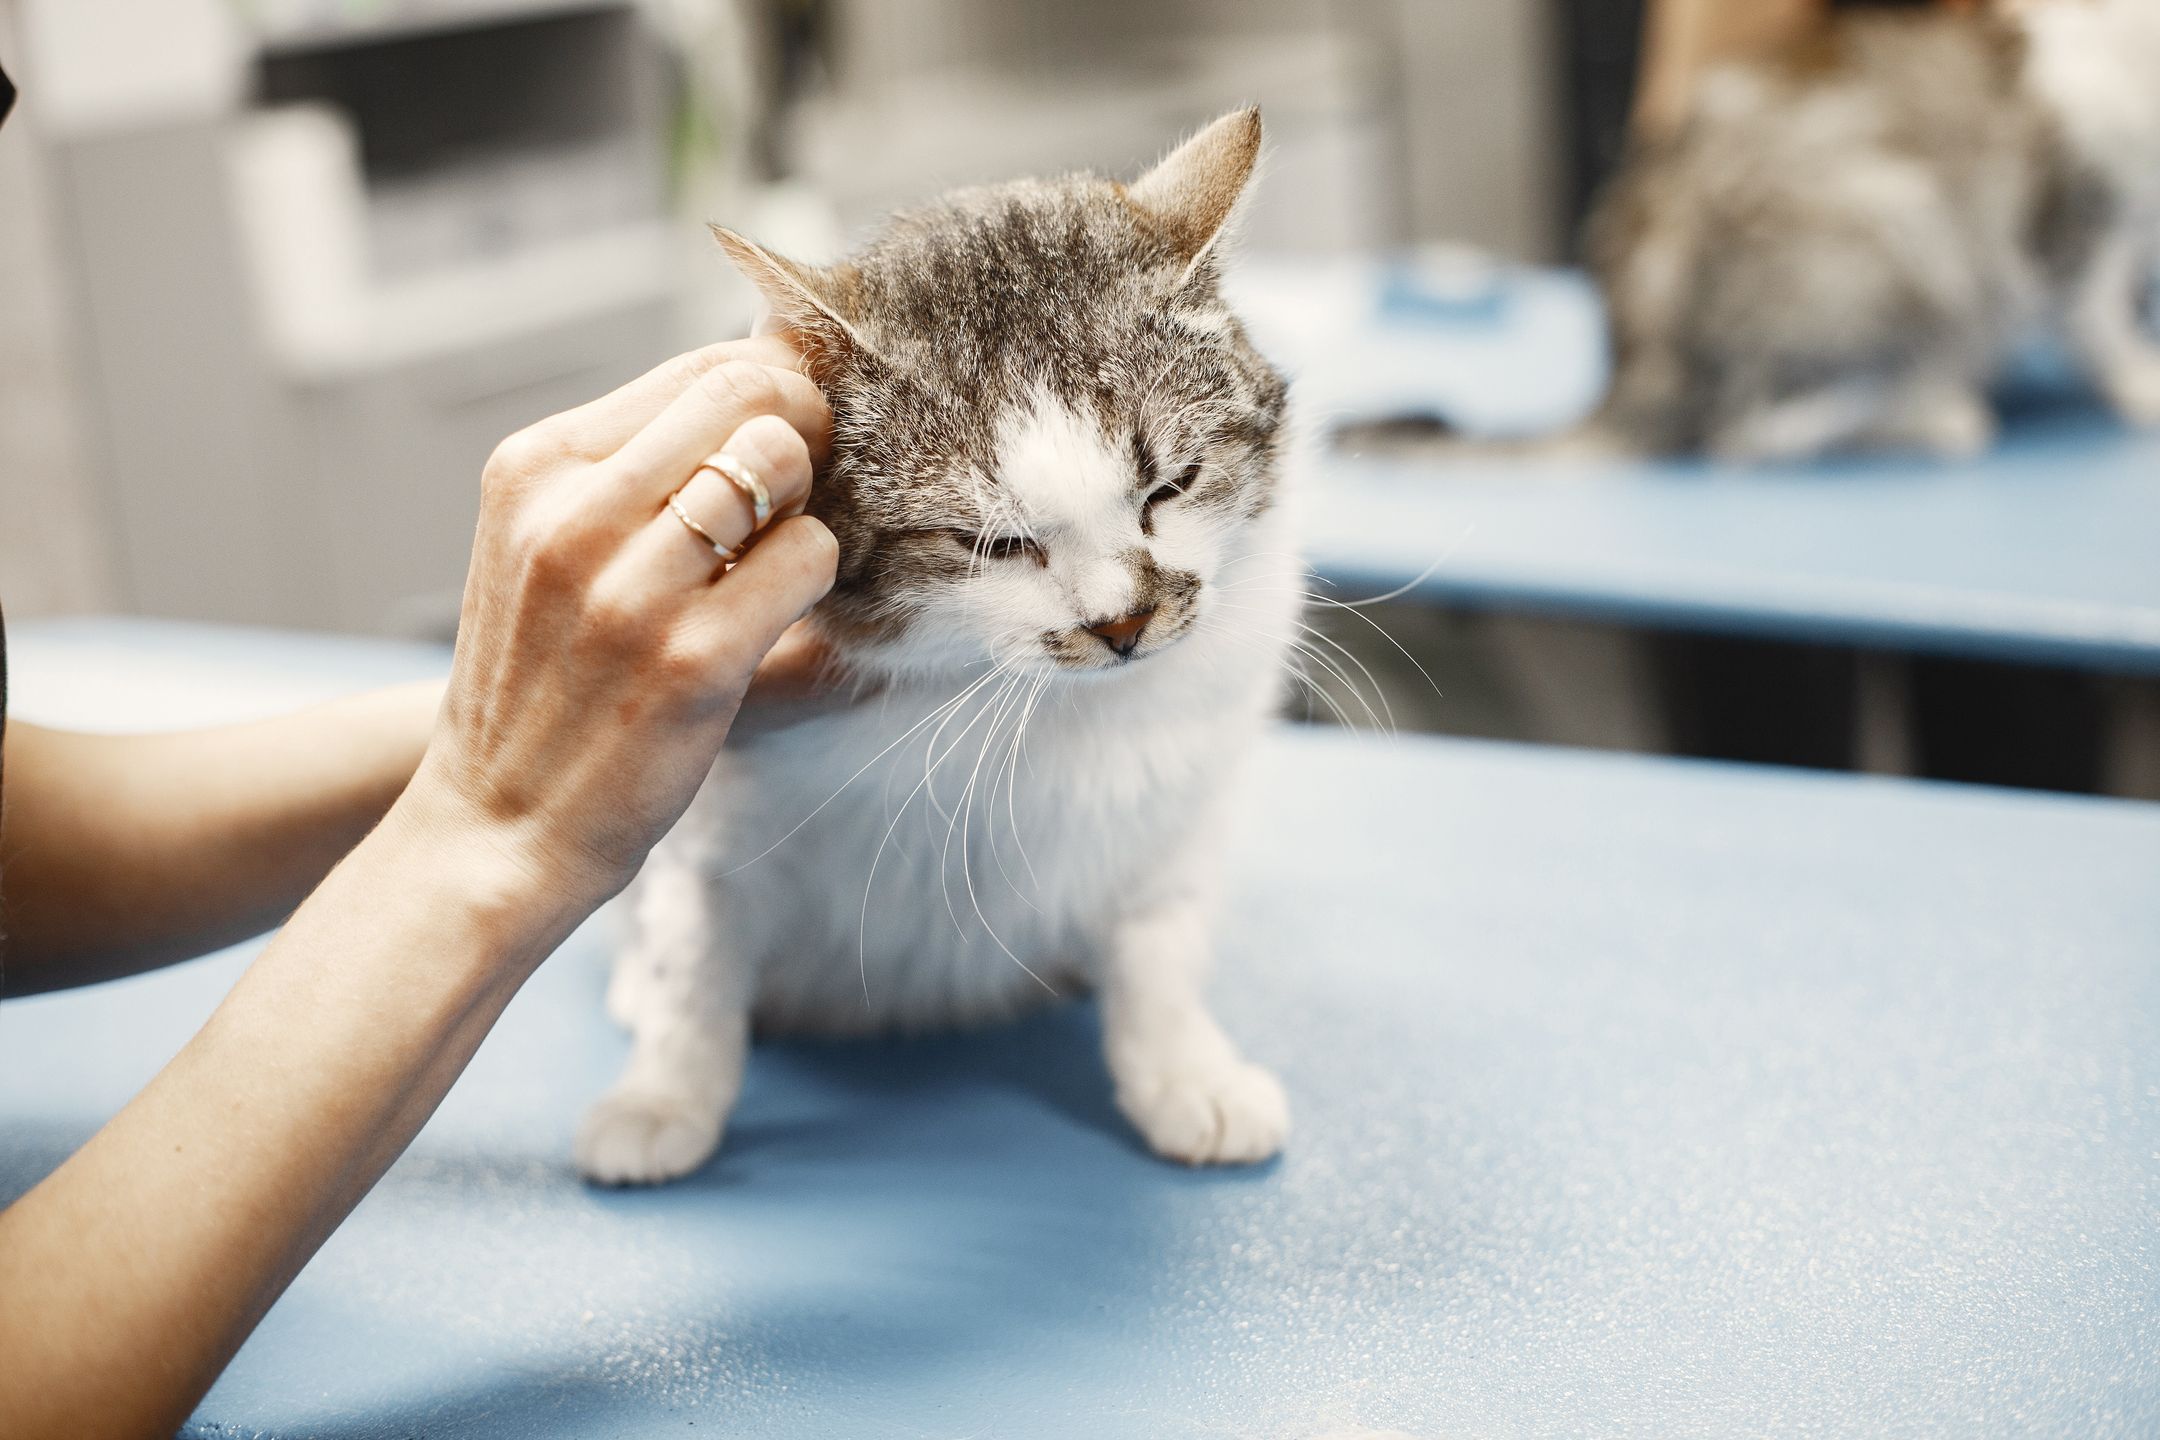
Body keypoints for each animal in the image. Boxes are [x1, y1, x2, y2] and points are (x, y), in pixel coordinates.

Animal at [574, 112, 1304, 1191]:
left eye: (1171, 487)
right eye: (994, 545)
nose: (1123, 623)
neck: (1013, 701)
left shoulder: (1173, 812)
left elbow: (1160, 944)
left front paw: (1186, 1073)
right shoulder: (711, 818)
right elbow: (693, 959)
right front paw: (664, 1094)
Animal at [1572, 0, 2160, 462]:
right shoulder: (2074, 224)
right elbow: (2102, 325)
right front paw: (2143, 383)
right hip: (1899, 223)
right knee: (1756, 432)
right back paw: (1938, 412)